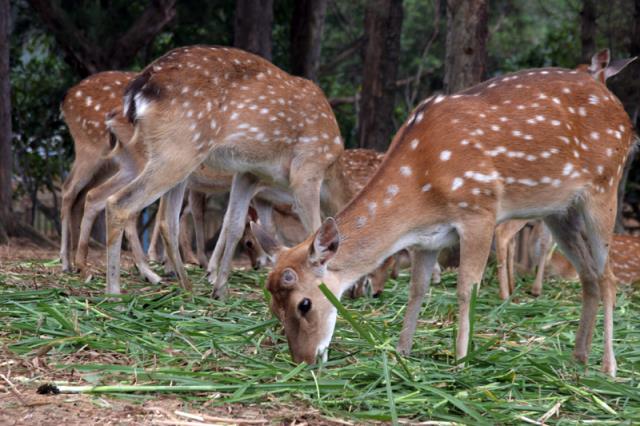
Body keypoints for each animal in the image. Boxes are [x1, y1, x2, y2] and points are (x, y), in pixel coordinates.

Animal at [103, 45, 343, 296]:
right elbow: (315, 231)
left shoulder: (249, 173)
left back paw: (186, 286)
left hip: (174, 158)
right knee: (119, 203)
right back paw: (116, 291)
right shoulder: (306, 171)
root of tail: (139, 89)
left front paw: (220, 288)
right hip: (178, 150)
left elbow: (236, 224)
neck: (331, 165)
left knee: (167, 221)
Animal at [259, 63, 636, 377]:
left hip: (604, 188)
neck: (423, 185)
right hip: (560, 212)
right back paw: (578, 357)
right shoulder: (428, 239)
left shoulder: (479, 210)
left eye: (304, 304)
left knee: (608, 278)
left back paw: (609, 367)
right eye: (273, 308)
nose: (304, 360)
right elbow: (417, 289)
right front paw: (402, 351)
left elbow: (466, 287)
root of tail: (624, 118)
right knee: (589, 276)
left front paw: (461, 359)